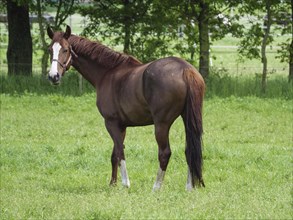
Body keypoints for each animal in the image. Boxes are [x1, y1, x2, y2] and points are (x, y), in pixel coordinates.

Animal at [46, 25, 204, 191]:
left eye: (66, 49)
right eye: (50, 50)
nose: (53, 76)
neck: (107, 73)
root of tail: (185, 70)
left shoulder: (111, 122)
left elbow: (120, 152)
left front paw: (125, 183)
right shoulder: (121, 126)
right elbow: (114, 154)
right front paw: (113, 183)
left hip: (162, 124)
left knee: (164, 152)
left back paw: (156, 187)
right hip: (188, 119)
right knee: (190, 149)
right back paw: (189, 186)